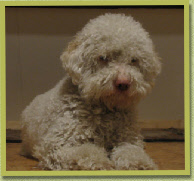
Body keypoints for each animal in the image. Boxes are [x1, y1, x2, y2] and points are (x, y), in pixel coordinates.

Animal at [20, 13, 161, 170]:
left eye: (134, 60)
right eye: (103, 58)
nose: (123, 83)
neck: (106, 110)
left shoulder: (129, 140)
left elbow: (132, 152)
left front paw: (140, 164)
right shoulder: (57, 144)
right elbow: (87, 152)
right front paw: (102, 163)